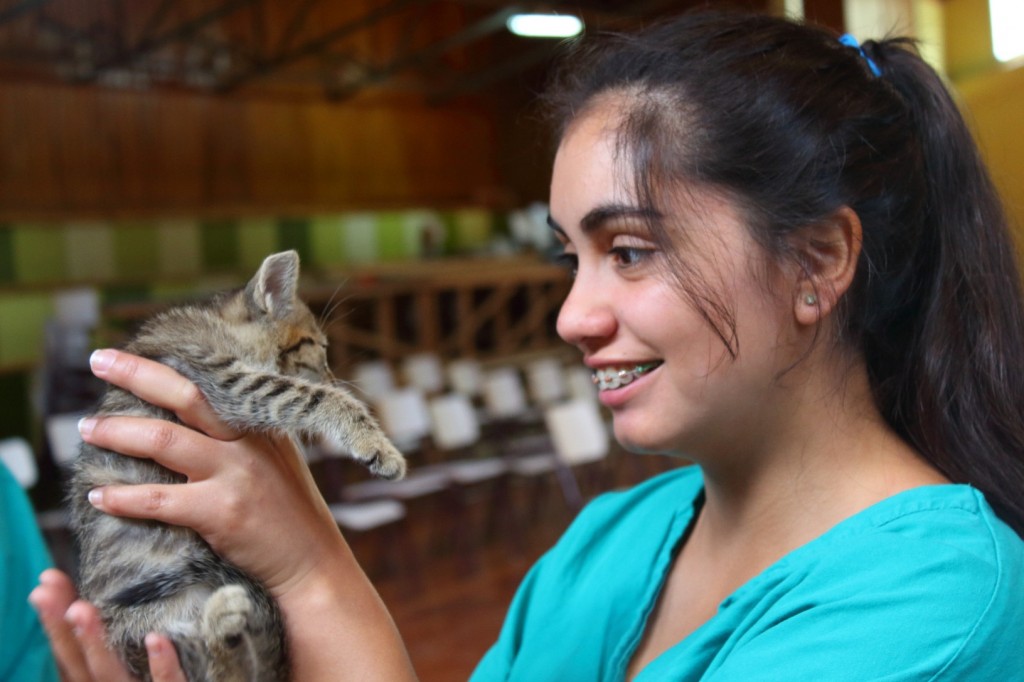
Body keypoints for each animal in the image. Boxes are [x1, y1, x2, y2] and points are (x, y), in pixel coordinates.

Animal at [67, 250, 403, 679]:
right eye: (319, 349)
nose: (333, 376)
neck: (217, 322)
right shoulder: (223, 380)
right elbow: (308, 396)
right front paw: (375, 444)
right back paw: (223, 618)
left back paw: (226, 621)